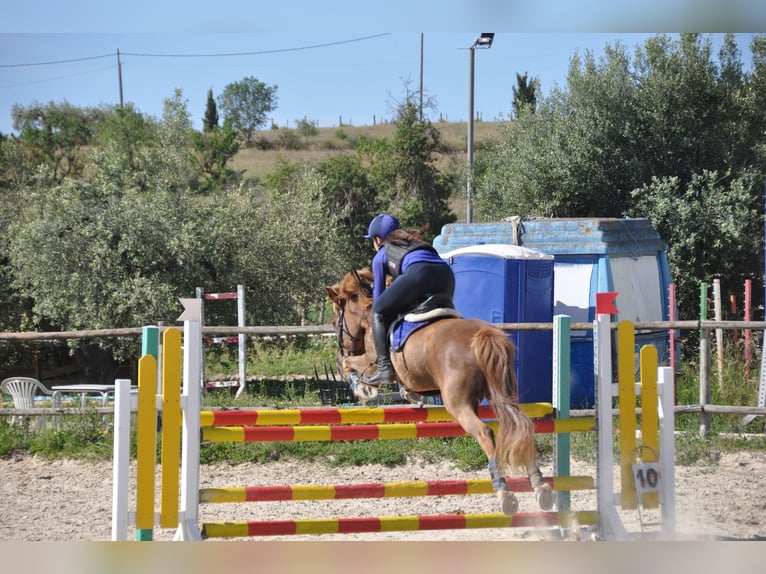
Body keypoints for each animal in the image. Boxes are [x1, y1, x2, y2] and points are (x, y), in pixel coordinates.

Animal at [328, 270, 556, 516]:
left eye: (335, 322)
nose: (345, 347)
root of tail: (483, 334)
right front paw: (407, 394)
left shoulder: (370, 361)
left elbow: (348, 364)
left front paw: (363, 388)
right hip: (501, 392)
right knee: (520, 426)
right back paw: (541, 487)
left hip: (458, 403)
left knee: (485, 432)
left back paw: (504, 491)